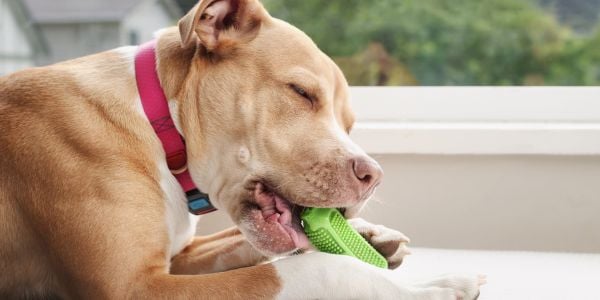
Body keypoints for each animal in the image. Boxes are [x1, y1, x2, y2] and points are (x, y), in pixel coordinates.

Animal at [0, 0, 482, 298]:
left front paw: (370, 236)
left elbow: (245, 242)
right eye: (301, 93)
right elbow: (310, 267)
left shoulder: (179, 258)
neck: (159, 126)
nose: (373, 176)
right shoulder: (132, 286)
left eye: (349, 124)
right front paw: (430, 288)